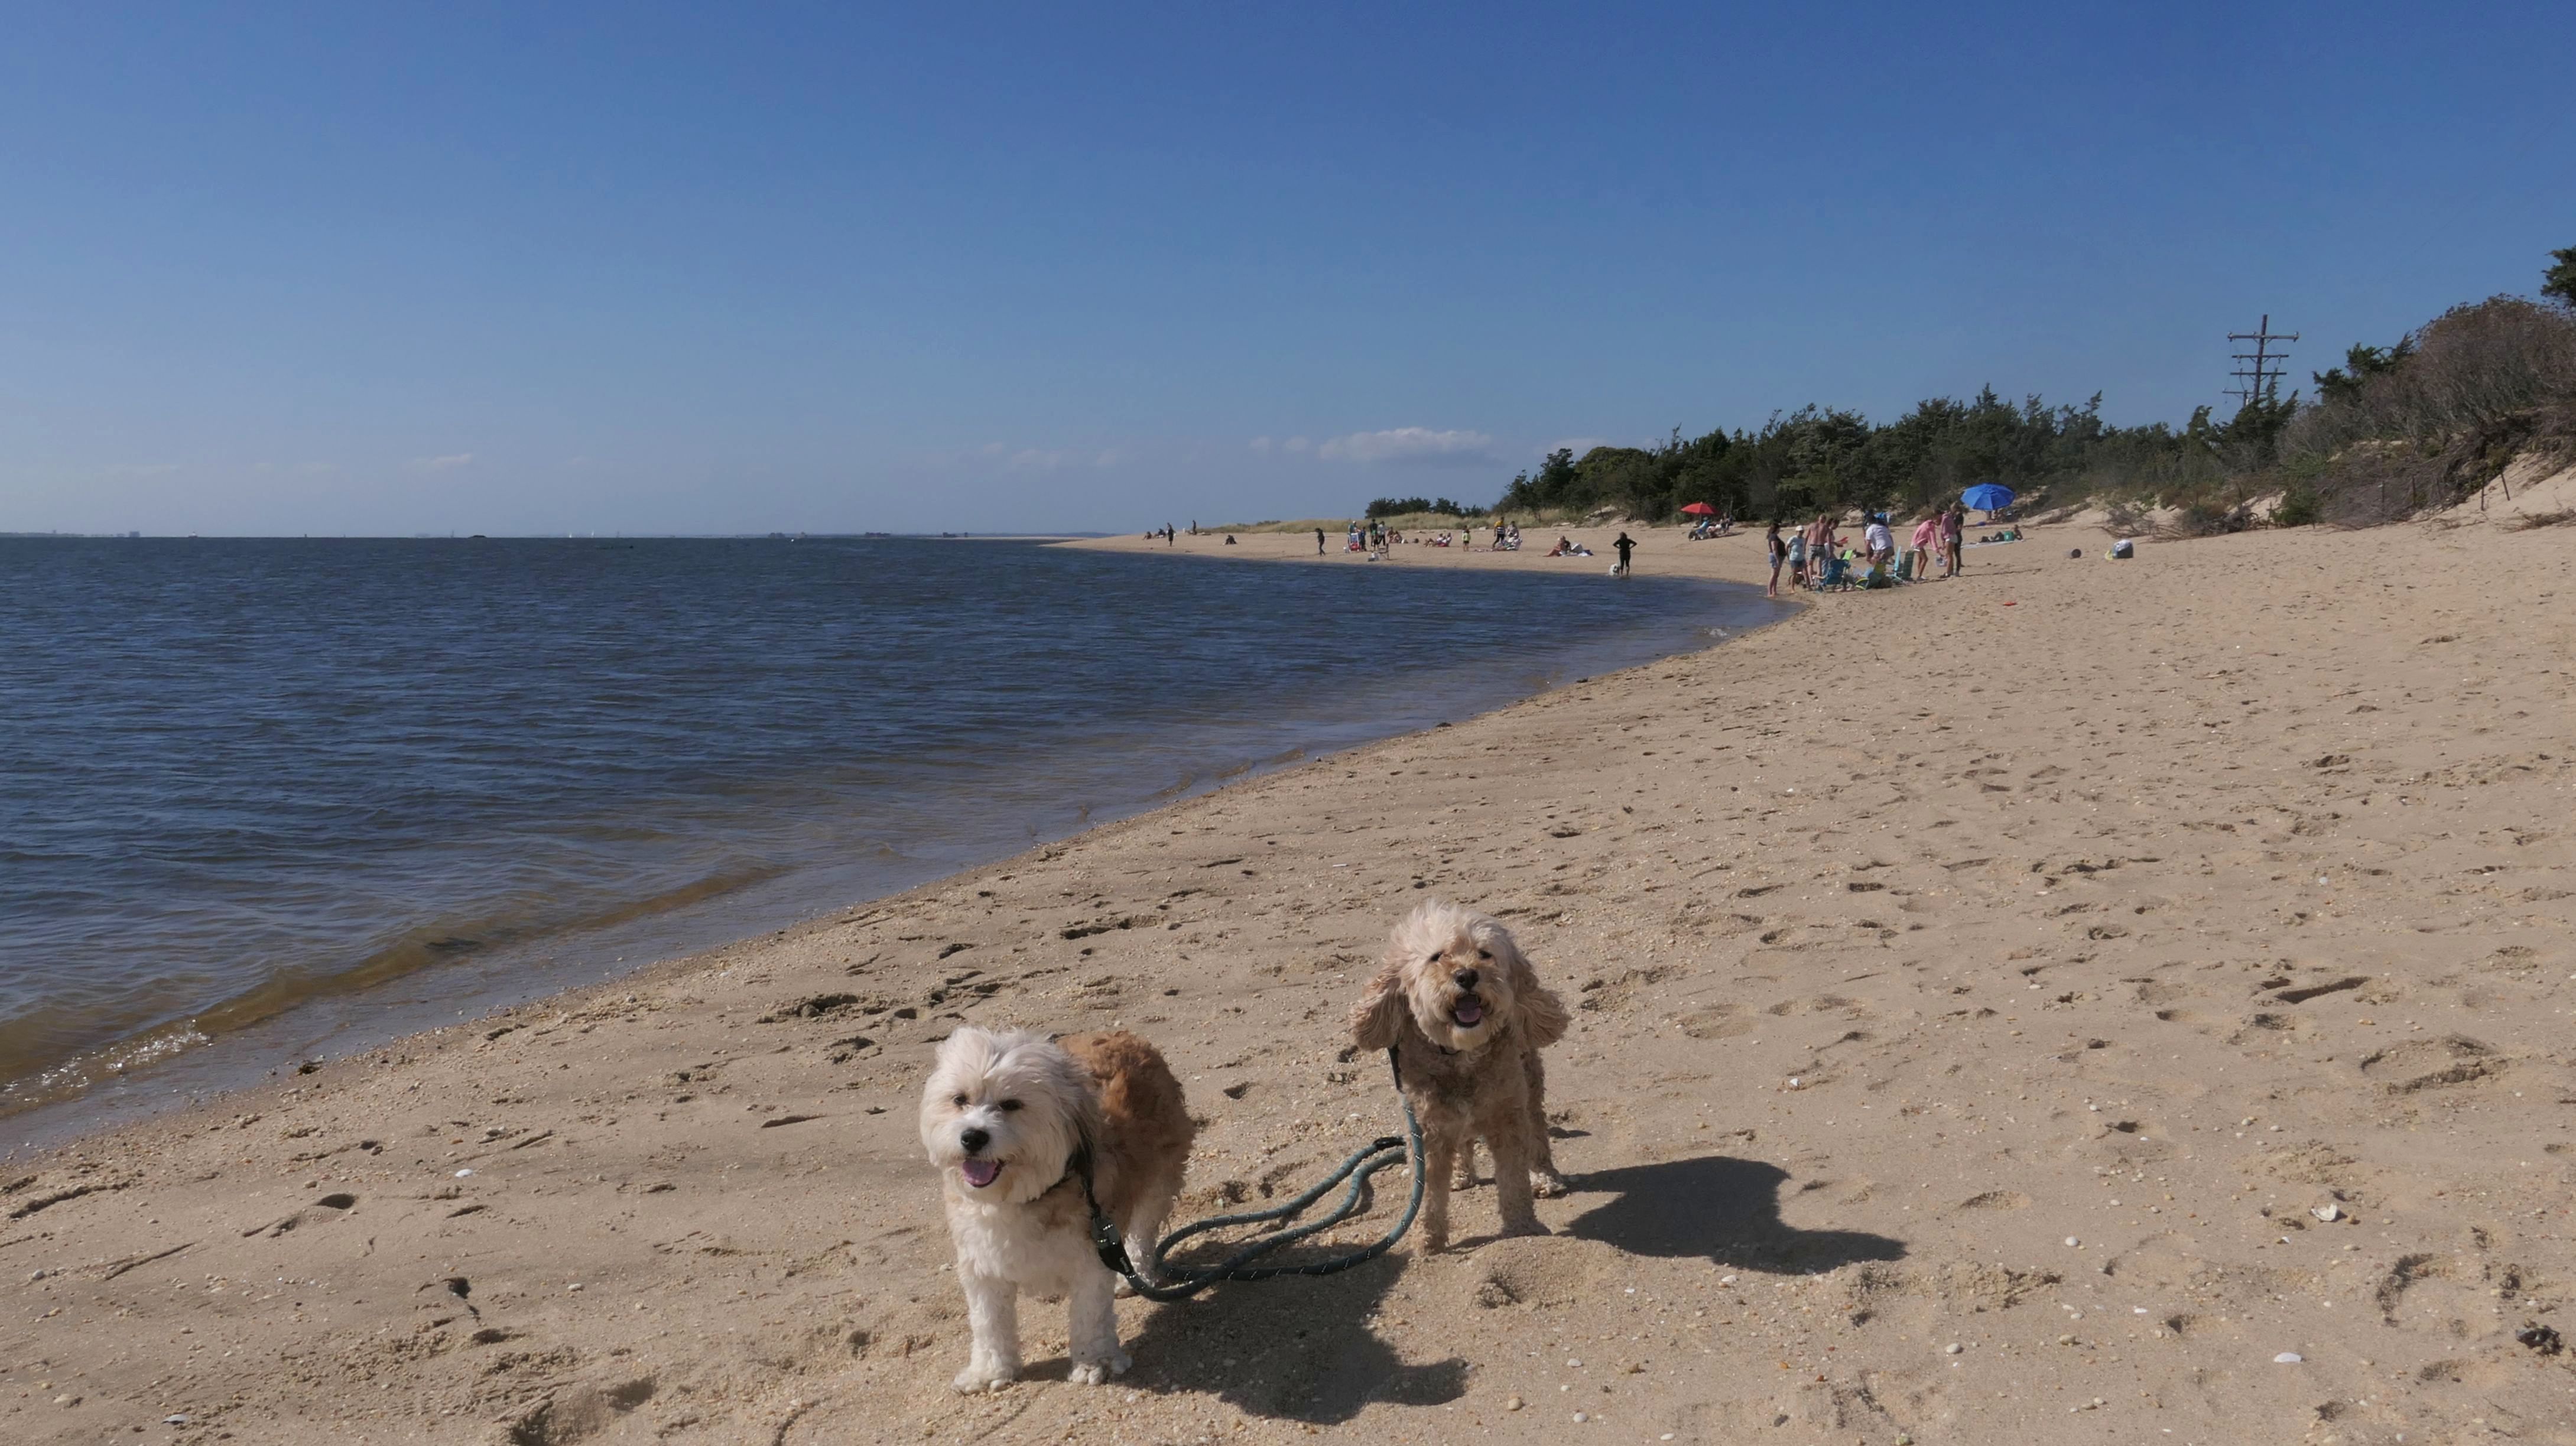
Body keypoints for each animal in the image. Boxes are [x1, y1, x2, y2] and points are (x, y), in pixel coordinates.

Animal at [919, 1026, 1193, 1392]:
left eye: (1011, 1104)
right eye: (960, 1099)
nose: (972, 1137)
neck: (1023, 1198)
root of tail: (1121, 1034)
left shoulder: (1093, 1256)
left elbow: (1090, 1315)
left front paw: (1094, 1362)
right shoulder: (981, 1265)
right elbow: (989, 1322)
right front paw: (989, 1371)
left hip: (1159, 1178)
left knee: (1143, 1233)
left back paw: (1137, 1272)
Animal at [1349, 899, 1570, 1251]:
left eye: (1485, 954)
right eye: (1437, 956)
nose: (1466, 975)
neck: (1460, 1053)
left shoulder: (1507, 1117)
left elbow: (1513, 1179)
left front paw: (1523, 1228)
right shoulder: (1425, 1131)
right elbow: (1427, 1193)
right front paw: (1430, 1241)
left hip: (1530, 1083)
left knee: (1537, 1131)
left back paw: (1545, 1176)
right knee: (1463, 1141)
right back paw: (1462, 1174)